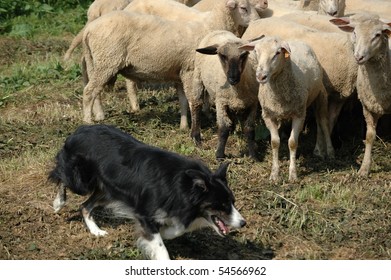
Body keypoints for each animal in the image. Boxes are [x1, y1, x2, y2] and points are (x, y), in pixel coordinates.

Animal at [48, 125, 245, 260]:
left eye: (233, 202)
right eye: (221, 205)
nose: (243, 223)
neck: (182, 186)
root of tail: (79, 130)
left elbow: (175, 230)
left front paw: (165, 232)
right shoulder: (145, 212)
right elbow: (160, 245)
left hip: (109, 191)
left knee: (85, 206)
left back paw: (96, 231)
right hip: (81, 181)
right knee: (61, 176)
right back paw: (58, 203)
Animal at [82, 0, 260, 127]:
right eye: (243, 8)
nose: (258, 21)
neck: (211, 26)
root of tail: (89, 29)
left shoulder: (181, 71)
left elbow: (183, 100)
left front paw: (184, 125)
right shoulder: (190, 70)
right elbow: (194, 99)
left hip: (98, 62)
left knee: (95, 90)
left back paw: (98, 115)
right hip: (107, 60)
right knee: (89, 91)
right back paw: (88, 120)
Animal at [190, 30, 260, 160]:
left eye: (244, 55)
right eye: (222, 56)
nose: (233, 78)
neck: (237, 91)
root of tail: (218, 31)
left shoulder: (253, 103)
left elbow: (249, 130)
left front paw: (253, 156)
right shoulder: (221, 102)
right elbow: (223, 129)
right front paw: (219, 155)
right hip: (198, 76)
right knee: (196, 104)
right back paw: (196, 137)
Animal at [240, 35, 336, 182]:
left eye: (277, 53)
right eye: (256, 51)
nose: (261, 76)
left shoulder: (299, 115)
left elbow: (292, 143)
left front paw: (293, 174)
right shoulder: (268, 115)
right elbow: (274, 142)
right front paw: (274, 174)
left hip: (321, 95)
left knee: (323, 123)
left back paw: (330, 152)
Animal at [330, 14, 391, 176]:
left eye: (377, 35)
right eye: (355, 33)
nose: (358, 57)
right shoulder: (368, 106)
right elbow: (369, 137)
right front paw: (364, 168)